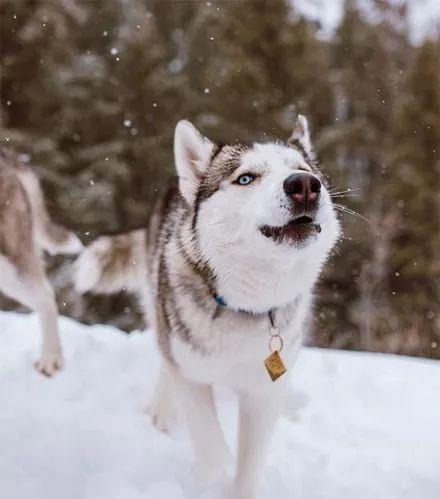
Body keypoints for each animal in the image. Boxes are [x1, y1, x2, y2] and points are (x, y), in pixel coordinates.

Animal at [75, 116, 340, 496]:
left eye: (303, 170)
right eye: (245, 178)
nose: (304, 185)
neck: (247, 305)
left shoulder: (261, 392)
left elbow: (249, 464)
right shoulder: (191, 376)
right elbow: (209, 441)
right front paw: (213, 477)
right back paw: (160, 410)